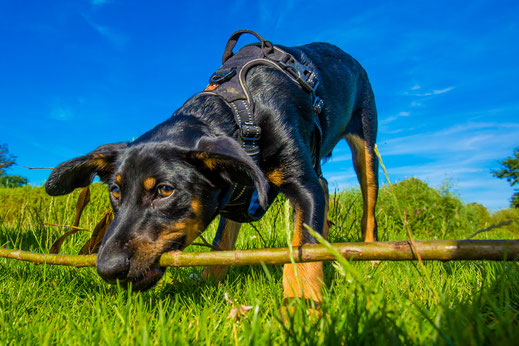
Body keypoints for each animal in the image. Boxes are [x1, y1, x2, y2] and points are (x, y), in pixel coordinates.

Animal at [45, 30, 378, 306]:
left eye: (165, 191)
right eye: (115, 191)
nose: (107, 268)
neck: (241, 110)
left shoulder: (303, 187)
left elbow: (302, 250)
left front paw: (301, 306)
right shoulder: (241, 185)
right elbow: (222, 242)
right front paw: (207, 280)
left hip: (365, 147)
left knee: (367, 206)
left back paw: (371, 252)